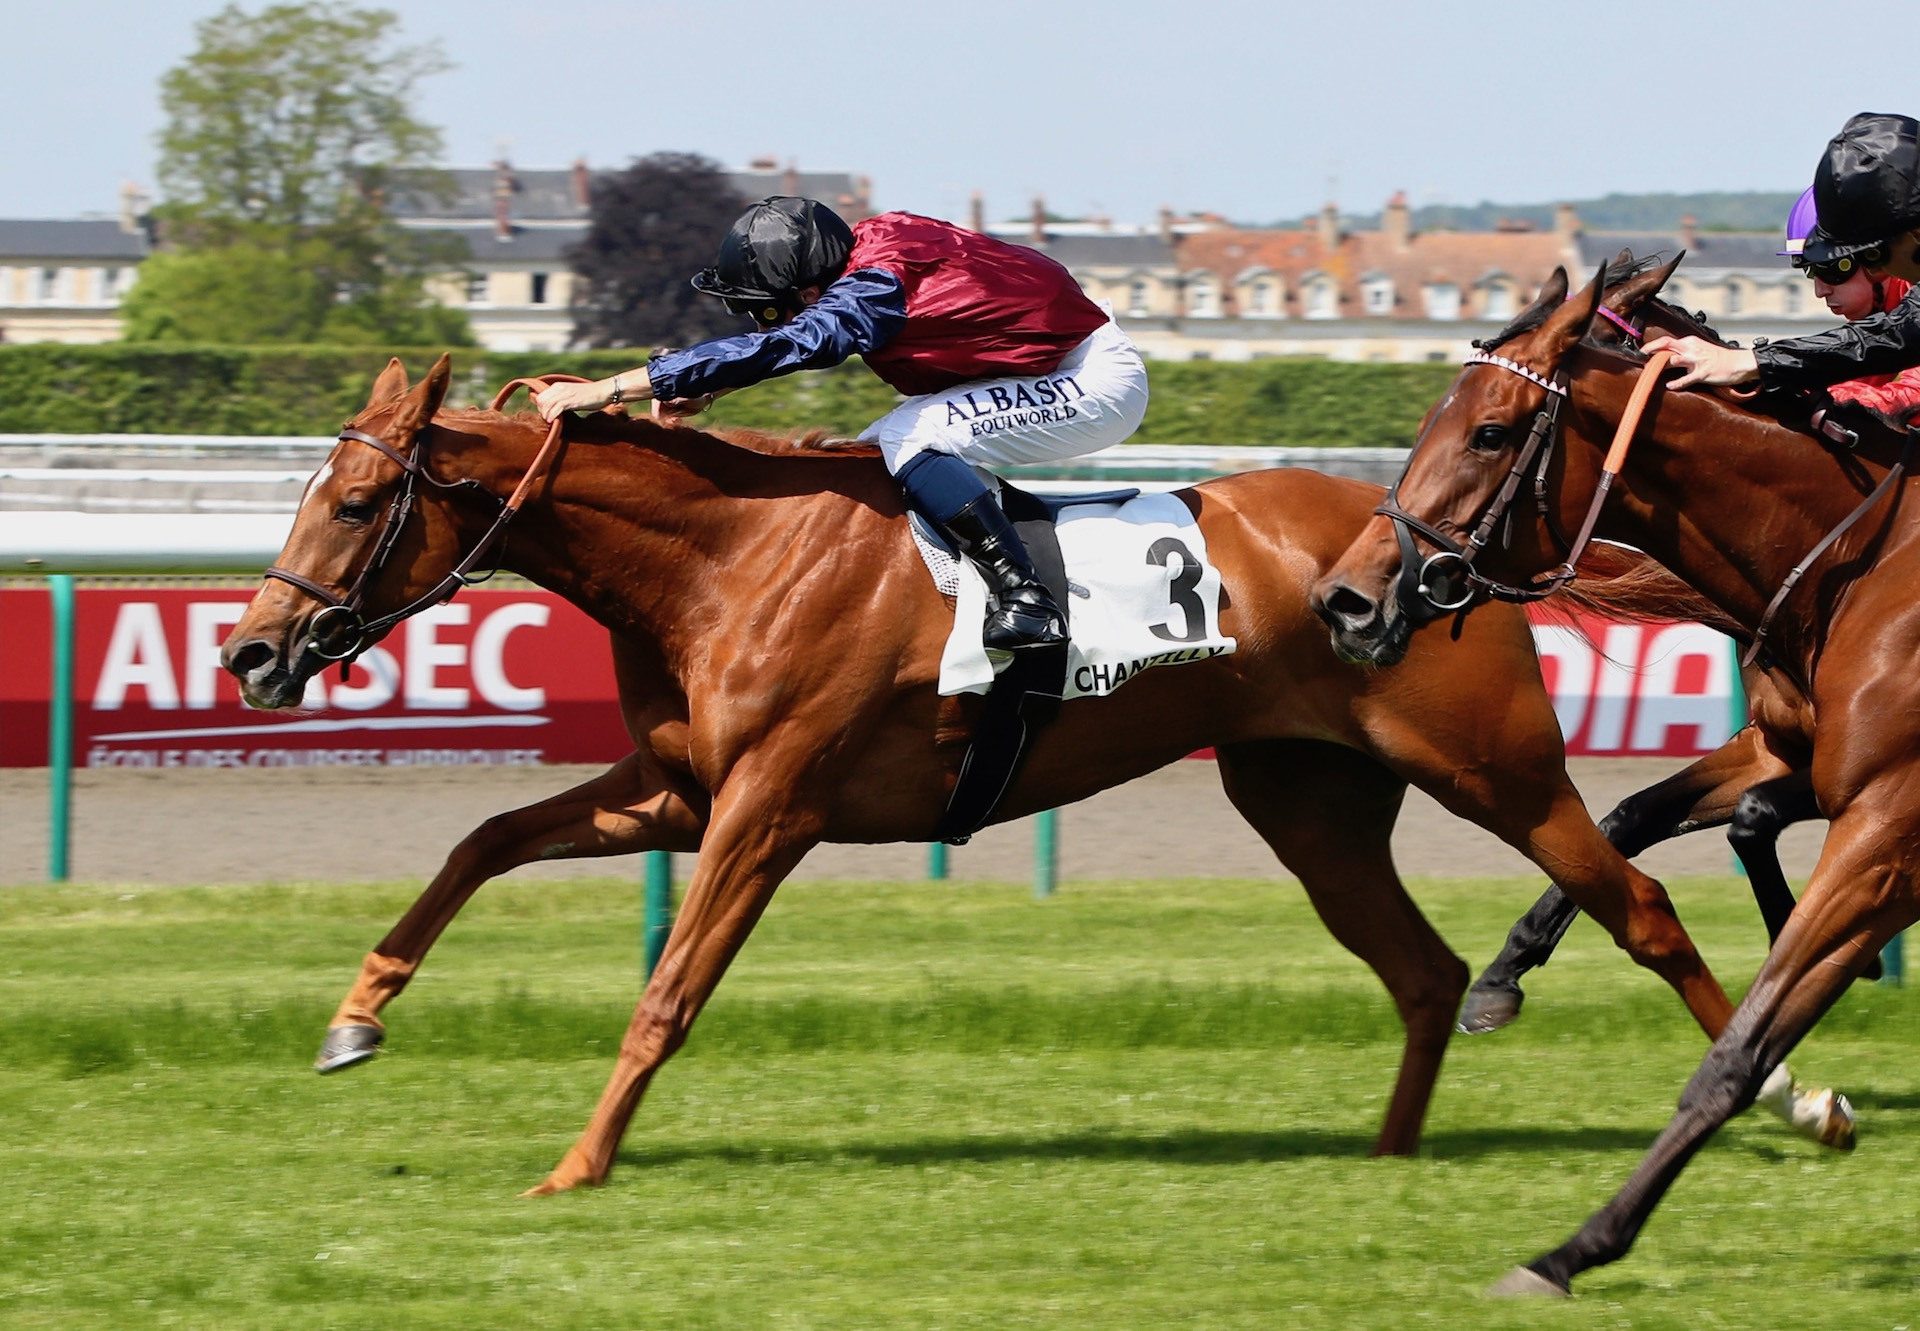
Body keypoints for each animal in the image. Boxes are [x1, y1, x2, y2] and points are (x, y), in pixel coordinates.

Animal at [220, 345, 1843, 1190]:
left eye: (354, 500)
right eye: (308, 486)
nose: (249, 651)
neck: (729, 551)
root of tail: (1431, 545)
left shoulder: (769, 806)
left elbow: (670, 989)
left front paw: (579, 1160)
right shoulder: (676, 787)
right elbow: (481, 838)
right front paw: (356, 1015)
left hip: (1494, 767)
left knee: (1638, 904)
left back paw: (1795, 1100)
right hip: (1305, 798)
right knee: (1423, 968)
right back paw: (1386, 1153)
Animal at [1313, 253, 1912, 1290]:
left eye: (1490, 431)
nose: (1347, 600)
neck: (1854, 561)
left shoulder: (1882, 827)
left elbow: (1741, 1029)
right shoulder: (1790, 751)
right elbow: (1639, 815)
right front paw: (1503, 976)